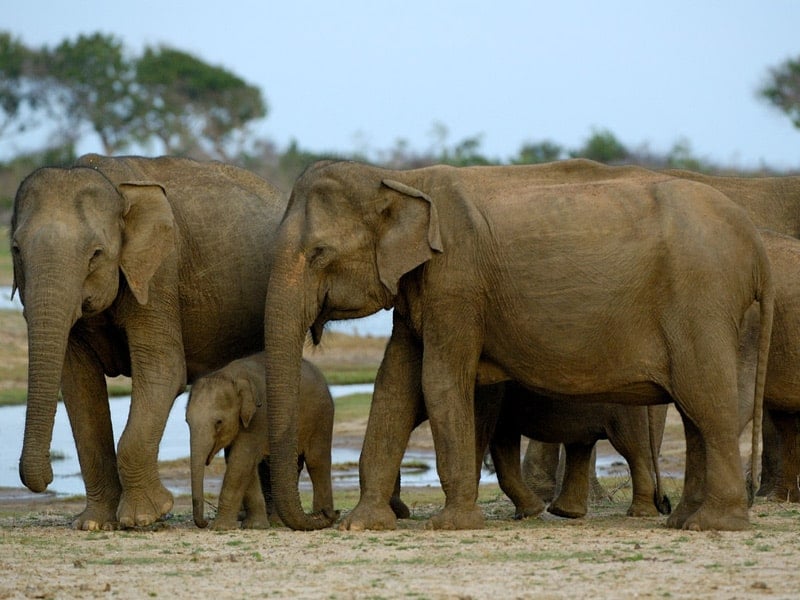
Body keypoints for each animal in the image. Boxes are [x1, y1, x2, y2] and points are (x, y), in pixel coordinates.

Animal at [11, 154, 288, 528]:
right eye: (15, 250)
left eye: (96, 254)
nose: (47, 478)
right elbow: (79, 385)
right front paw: (95, 524)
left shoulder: (158, 275)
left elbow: (162, 370)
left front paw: (143, 517)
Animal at [187, 352, 334, 528]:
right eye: (187, 421)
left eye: (219, 422)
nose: (204, 522)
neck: (232, 376)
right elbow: (241, 461)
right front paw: (255, 526)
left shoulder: (259, 416)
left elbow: (241, 459)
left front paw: (220, 527)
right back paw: (280, 522)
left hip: (322, 416)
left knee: (316, 461)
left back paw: (323, 515)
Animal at [260, 158, 768, 528]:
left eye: (318, 254)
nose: (324, 518)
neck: (402, 179)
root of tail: (755, 241)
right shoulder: (420, 291)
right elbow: (393, 387)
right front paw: (364, 525)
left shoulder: (457, 282)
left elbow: (439, 381)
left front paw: (452, 525)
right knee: (695, 411)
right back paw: (682, 521)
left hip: (701, 298)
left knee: (707, 402)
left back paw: (714, 524)